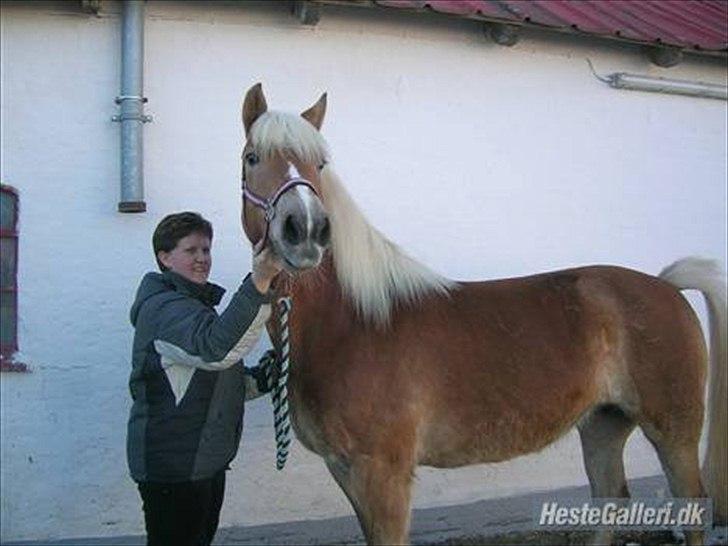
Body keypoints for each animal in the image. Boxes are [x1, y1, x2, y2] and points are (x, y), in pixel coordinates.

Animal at [237, 82, 724, 544]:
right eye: (252, 157)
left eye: (320, 164)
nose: (306, 230)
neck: (351, 324)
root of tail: (666, 285)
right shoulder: (344, 470)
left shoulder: (384, 474)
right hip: (603, 424)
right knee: (610, 499)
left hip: (673, 430)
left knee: (689, 503)